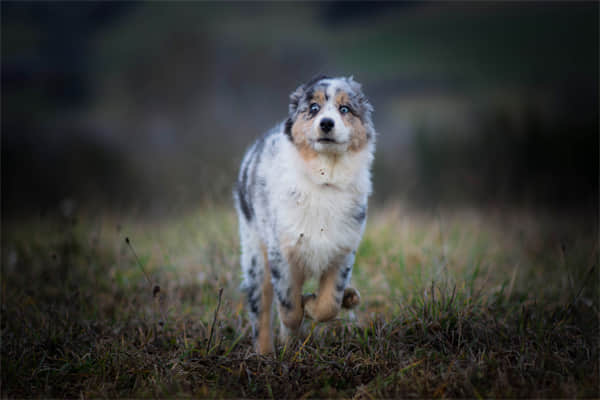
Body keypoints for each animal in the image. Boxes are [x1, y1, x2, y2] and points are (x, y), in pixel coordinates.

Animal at [234, 75, 376, 354]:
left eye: (345, 109)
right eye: (313, 108)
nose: (326, 123)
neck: (324, 178)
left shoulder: (342, 250)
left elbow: (329, 304)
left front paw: (315, 302)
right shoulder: (282, 251)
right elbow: (289, 308)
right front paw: (302, 305)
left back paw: (349, 297)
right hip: (255, 255)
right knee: (261, 312)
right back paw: (266, 354)